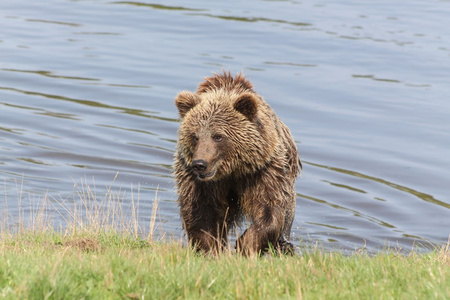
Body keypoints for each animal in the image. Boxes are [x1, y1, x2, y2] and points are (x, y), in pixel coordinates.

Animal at [174, 71, 300, 255]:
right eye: (195, 136)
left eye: (218, 136)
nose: (200, 164)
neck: (233, 170)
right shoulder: (199, 182)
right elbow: (200, 211)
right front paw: (211, 247)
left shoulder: (263, 171)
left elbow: (270, 208)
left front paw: (245, 243)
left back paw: (284, 244)